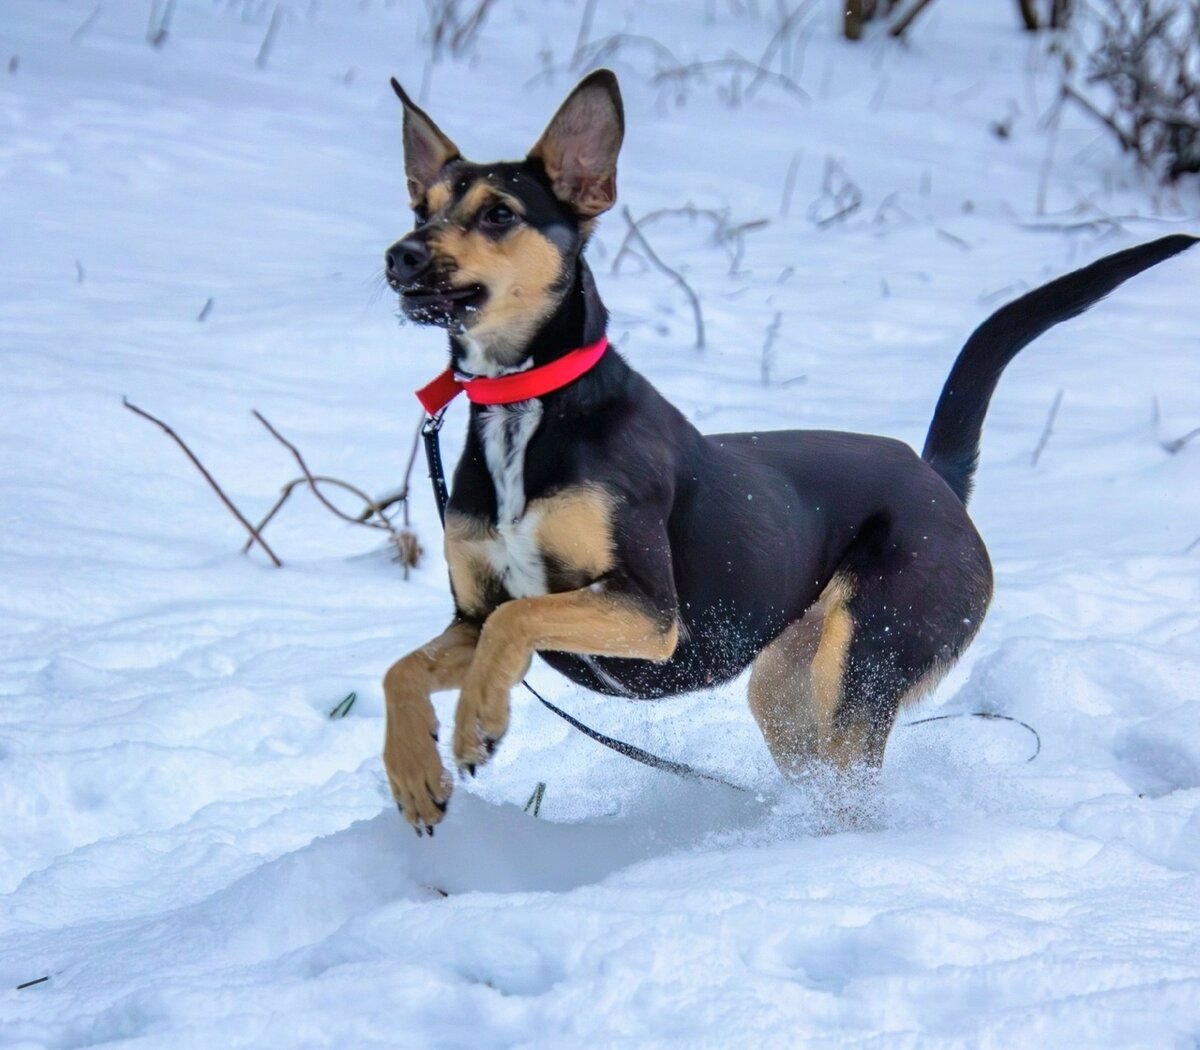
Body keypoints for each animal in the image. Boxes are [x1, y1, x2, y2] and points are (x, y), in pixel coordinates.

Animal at [379, 69, 1195, 835]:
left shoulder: (648, 611)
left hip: (869, 657)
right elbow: (403, 670)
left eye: (499, 213)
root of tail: (934, 476)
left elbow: (517, 624)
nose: (400, 255)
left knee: (855, 783)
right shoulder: (472, 616)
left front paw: (477, 721)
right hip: (785, 689)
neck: (525, 406)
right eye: (422, 208)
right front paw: (414, 771)